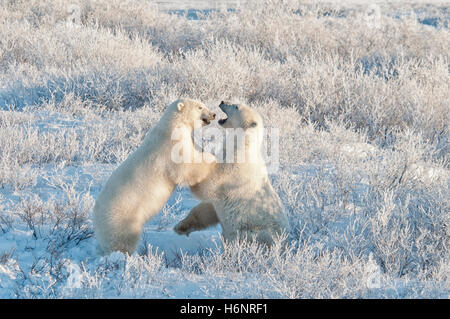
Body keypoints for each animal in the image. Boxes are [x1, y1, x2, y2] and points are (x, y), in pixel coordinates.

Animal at [93, 99, 216, 256]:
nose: (213, 114)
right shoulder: (171, 146)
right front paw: (211, 159)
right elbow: (185, 166)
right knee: (124, 239)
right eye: (200, 107)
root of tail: (95, 217)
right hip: (121, 216)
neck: (173, 125)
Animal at [174, 102, 290, 248]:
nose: (223, 102)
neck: (243, 147)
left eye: (236, 107)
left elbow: (209, 186)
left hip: (257, 231)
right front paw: (181, 227)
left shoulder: (233, 170)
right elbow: (208, 208)